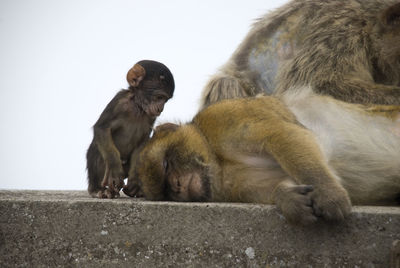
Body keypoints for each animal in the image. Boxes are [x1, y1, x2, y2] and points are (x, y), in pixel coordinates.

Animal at [86, 60, 174, 199]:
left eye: (166, 100)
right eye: (159, 97)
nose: (161, 108)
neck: (137, 106)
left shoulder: (151, 116)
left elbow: (143, 141)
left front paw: (133, 183)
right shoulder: (119, 102)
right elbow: (102, 128)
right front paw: (115, 170)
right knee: (96, 150)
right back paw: (97, 189)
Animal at [134, 89, 400, 225]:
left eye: (166, 164)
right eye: (167, 190)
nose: (177, 186)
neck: (218, 160)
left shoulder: (224, 117)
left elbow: (281, 134)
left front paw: (329, 195)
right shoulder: (232, 184)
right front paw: (289, 198)